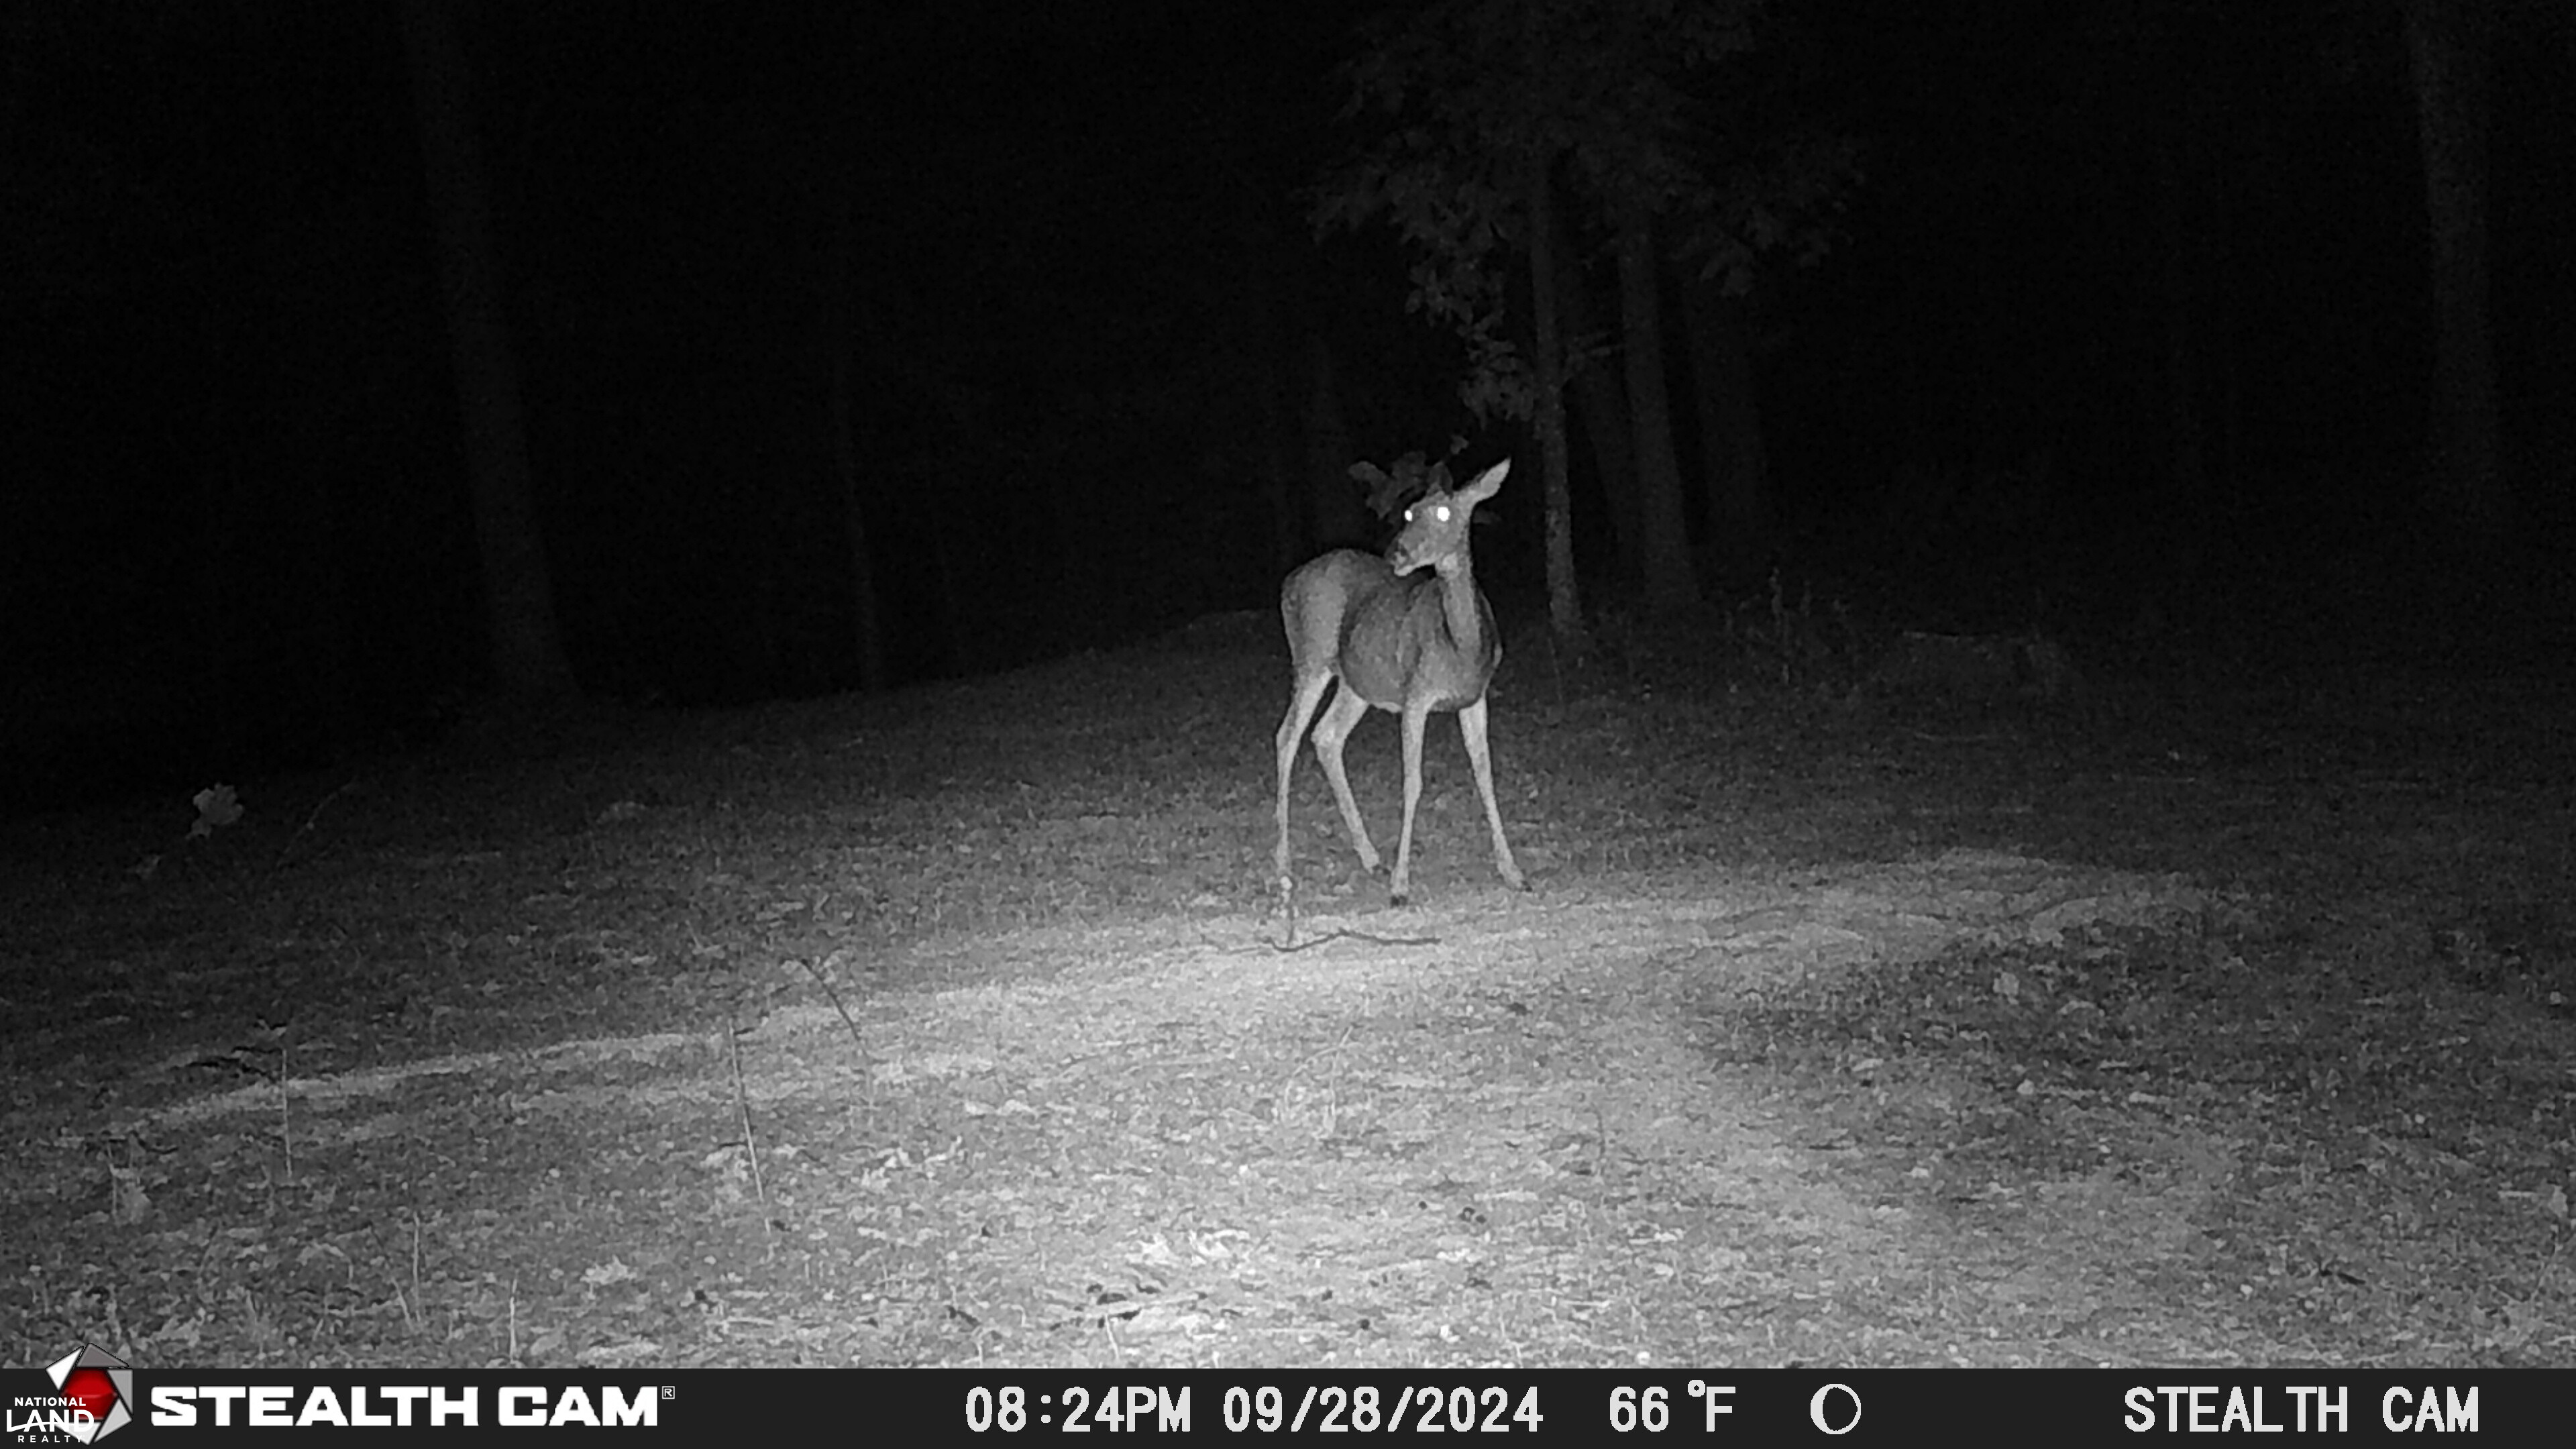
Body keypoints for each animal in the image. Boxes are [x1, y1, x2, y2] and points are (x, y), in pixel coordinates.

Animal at [1272, 457, 1530, 906]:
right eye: (1409, 513)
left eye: (1443, 512)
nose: (1399, 552)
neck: (1461, 648)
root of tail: (1288, 582)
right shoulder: (1416, 694)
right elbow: (1412, 782)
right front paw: (1401, 886)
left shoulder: (1475, 697)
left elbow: (1486, 775)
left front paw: (1514, 873)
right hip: (1310, 655)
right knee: (1287, 736)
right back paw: (1285, 865)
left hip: (1357, 682)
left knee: (1326, 735)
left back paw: (1370, 856)